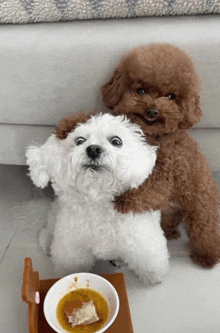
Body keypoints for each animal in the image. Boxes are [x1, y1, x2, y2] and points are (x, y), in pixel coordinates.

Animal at [26, 113, 170, 282]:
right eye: (79, 140)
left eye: (116, 141)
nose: (93, 149)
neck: (97, 199)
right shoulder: (73, 248)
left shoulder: (141, 240)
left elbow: (149, 261)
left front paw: (153, 276)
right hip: (56, 217)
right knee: (49, 227)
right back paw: (47, 242)